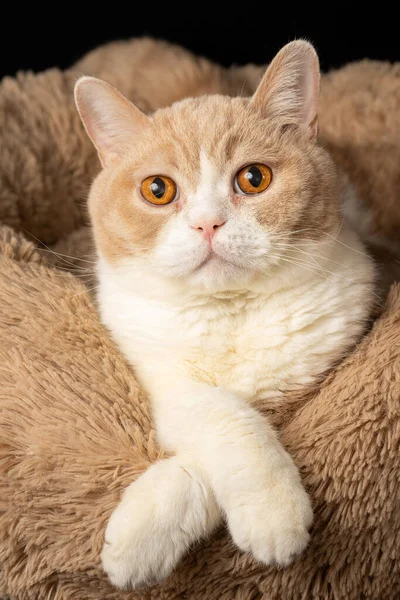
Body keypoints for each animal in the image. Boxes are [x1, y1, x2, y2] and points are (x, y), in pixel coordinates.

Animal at [74, 39, 376, 588]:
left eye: (254, 179)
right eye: (157, 190)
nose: (207, 223)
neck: (228, 315)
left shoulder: (308, 384)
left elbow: (238, 433)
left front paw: (267, 516)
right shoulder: (163, 384)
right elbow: (224, 416)